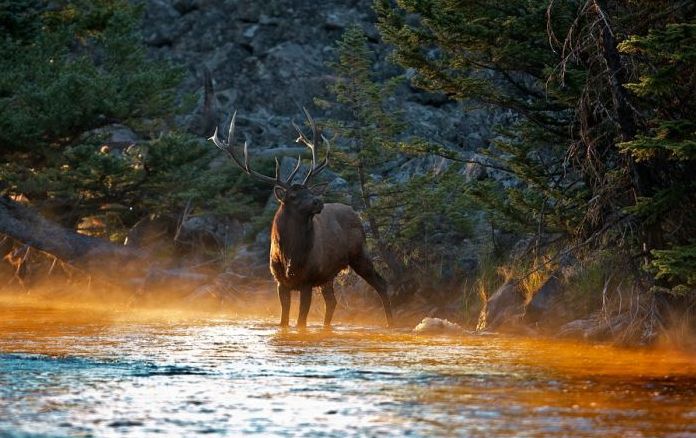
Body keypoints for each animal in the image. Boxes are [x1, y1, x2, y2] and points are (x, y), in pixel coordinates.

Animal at [209, 109, 394, 328]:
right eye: (293, 196)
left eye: (309, 191)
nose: (318, 201)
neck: (291, 256)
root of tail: (353, 211)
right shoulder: (280, 282)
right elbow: (284, 321)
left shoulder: (307, 281)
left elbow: (301, 322)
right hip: (328, 274)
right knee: (332, 301)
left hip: (359, 253)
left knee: (381, 284)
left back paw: (391, 323)